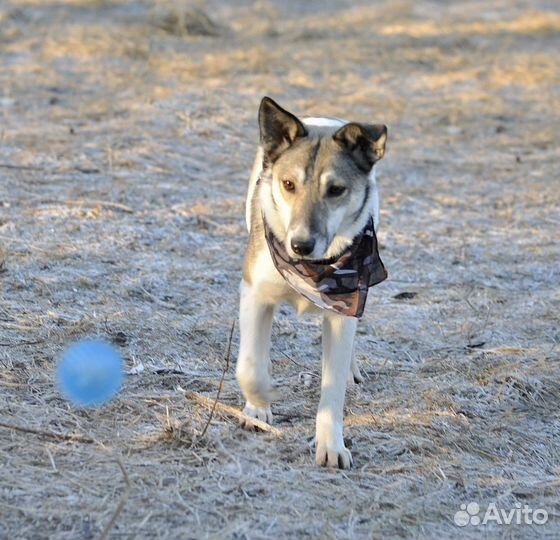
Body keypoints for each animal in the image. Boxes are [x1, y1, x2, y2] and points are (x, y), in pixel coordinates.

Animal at [234, 97, 388, 468]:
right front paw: (260, 402)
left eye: (336, 190)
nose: (300, 245)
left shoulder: (345, 303)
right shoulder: (255, 293)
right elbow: (250, 365)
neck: (313, 268)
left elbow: (332, 388)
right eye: (288, 184)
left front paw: (330, 446)